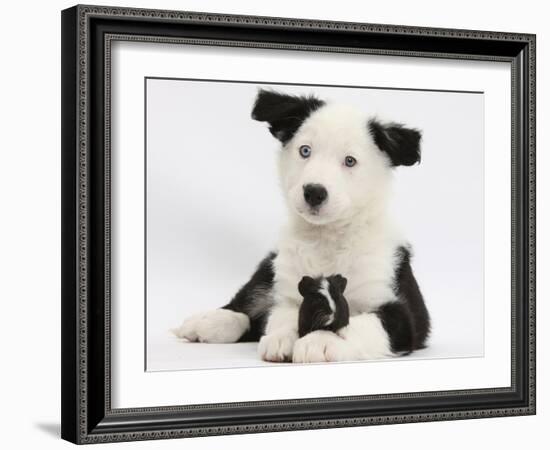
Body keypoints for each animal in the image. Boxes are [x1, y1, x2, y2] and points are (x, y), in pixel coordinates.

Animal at [175, 89, 434, 364]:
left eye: (350, 161)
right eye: (305, 150)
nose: (314, 192)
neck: (327, 238)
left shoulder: (399, 312)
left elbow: (357, 323)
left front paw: (320, 340)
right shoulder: (288, 290)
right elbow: (282, 315)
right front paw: (281, 338)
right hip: (270, 265)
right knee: (250, 303)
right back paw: (208, 321)